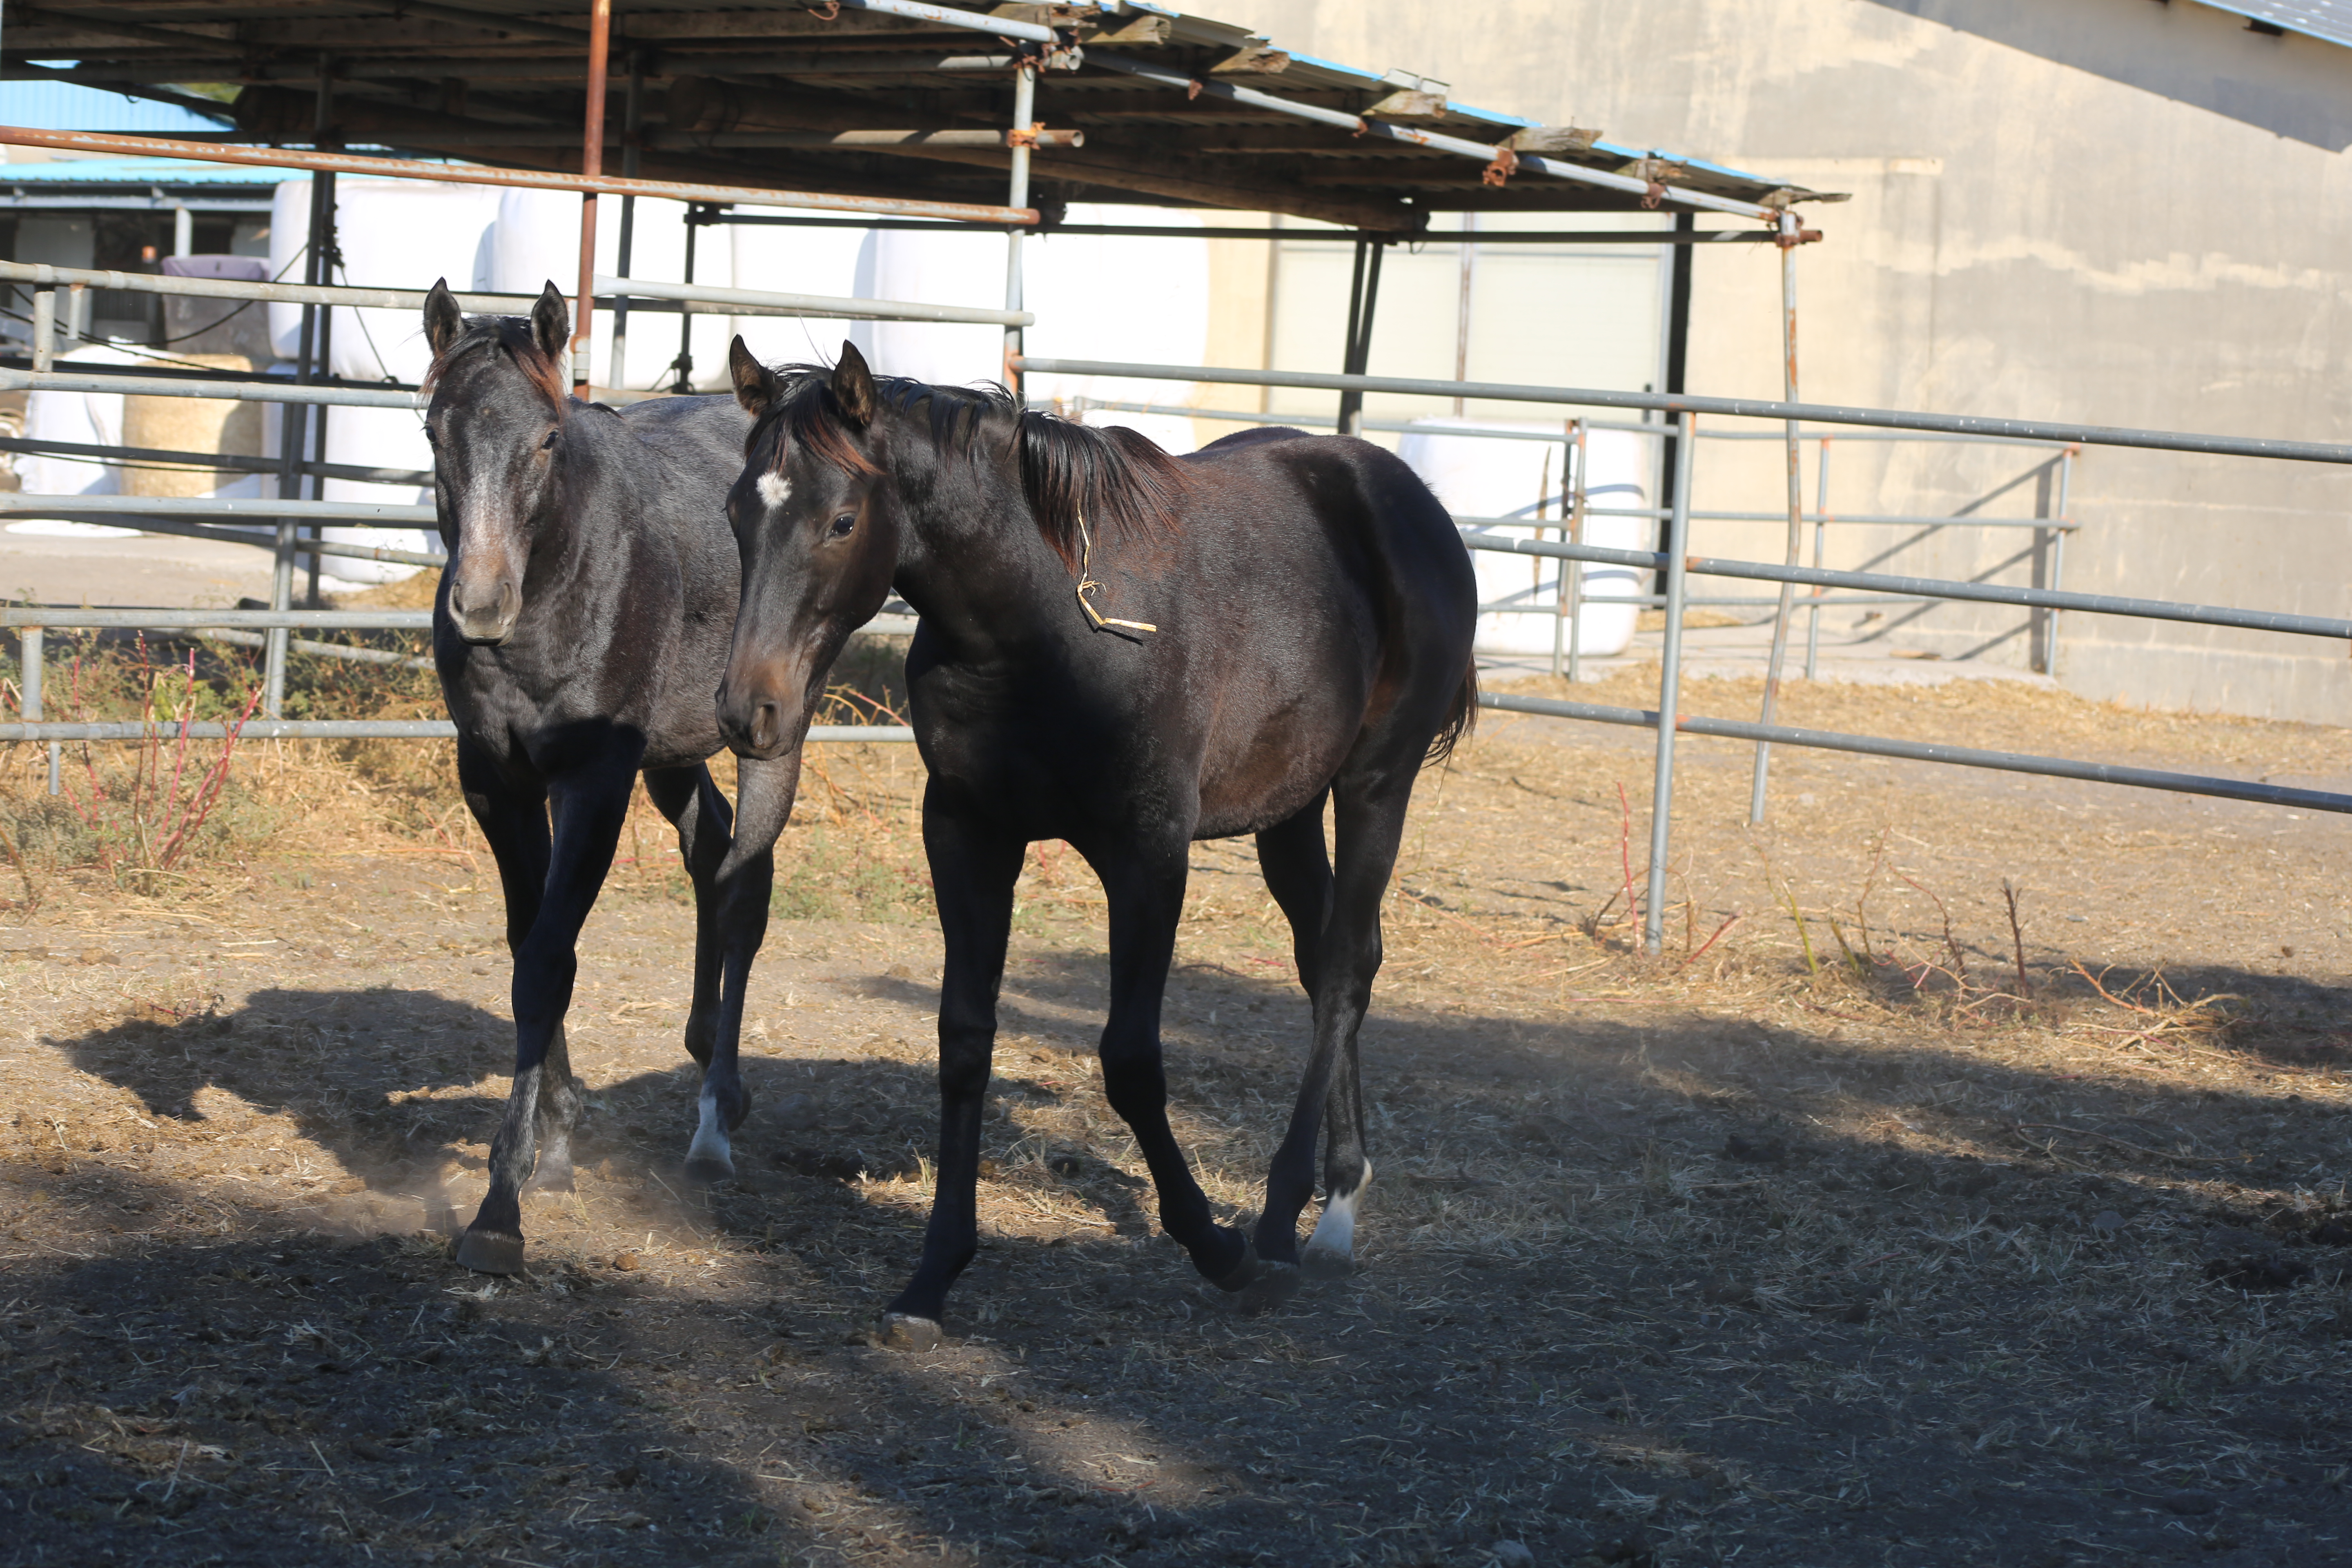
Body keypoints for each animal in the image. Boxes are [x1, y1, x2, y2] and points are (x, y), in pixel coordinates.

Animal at [710, 343, 1468, 1354]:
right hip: (1291, 810)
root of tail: (1402, 496)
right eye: (736, 513)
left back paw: (1280, 1223)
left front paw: (1215, 1247)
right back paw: (1337, 1198)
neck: (1043, 627)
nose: (747, 712)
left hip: (1377, 784)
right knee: (1325, 968)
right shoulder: (967, 834)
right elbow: (965, 1041)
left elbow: (1130, 1059)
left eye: (841, 519)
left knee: (1347, 967)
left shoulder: (1149, 854)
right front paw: (933, 1276)